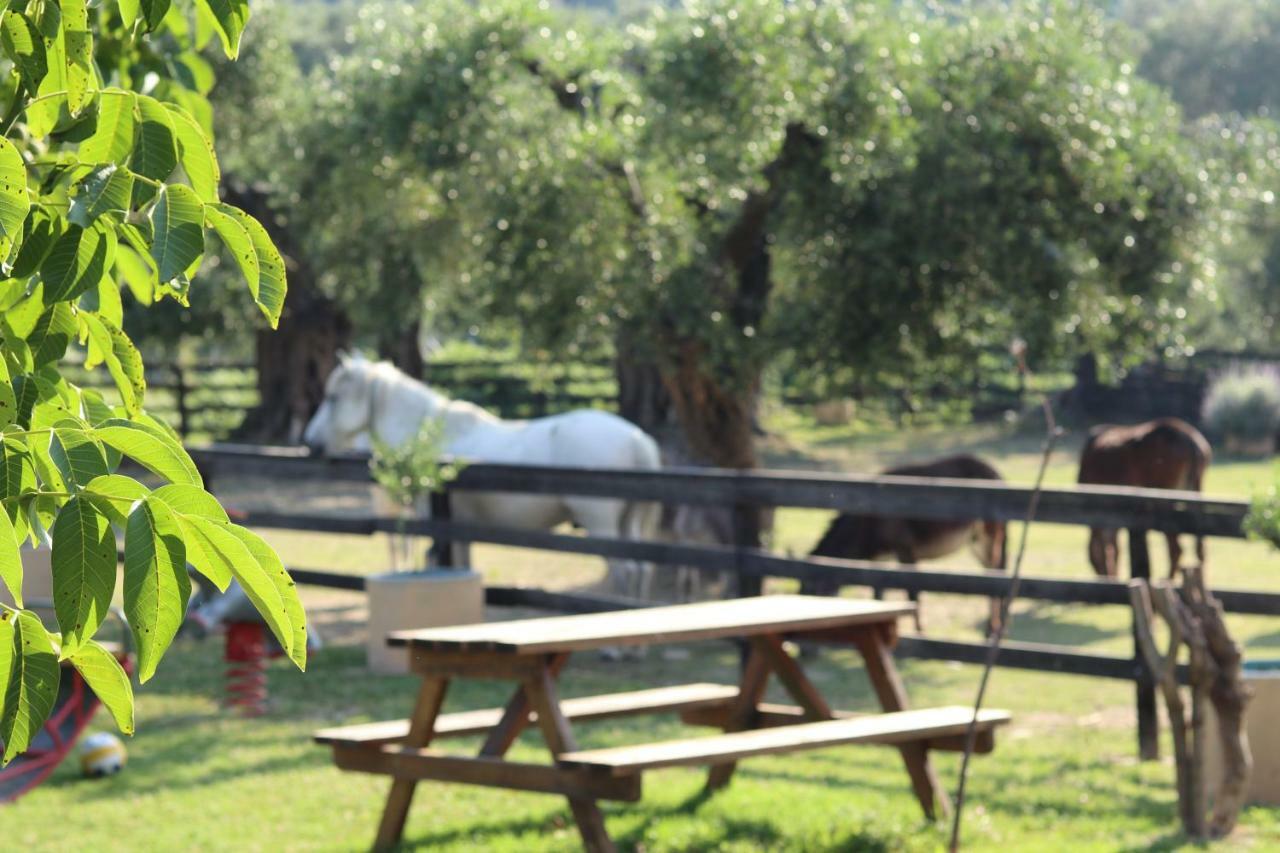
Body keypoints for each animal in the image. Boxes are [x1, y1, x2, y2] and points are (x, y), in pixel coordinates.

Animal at [298, 350, 660, 596]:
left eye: (332, 398)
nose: (310, 443)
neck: (431, 437)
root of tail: (636, 438)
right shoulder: (462, 528)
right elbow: (464, 564)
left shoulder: (439, 525)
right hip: (631, 524)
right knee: (642, 568)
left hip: (601, 525)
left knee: (625, 571)